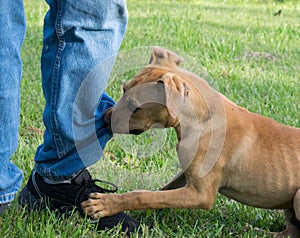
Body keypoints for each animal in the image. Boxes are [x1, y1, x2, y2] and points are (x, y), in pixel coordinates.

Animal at [81, 47, 300, 237]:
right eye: (123, 89)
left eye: (134, 106)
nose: (104, 118)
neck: (201, 119)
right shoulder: (187, 174)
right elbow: (158, 193)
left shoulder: (200, 194)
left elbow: (142, 195)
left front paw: (105, 205)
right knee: (290, 232)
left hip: (298, 196)